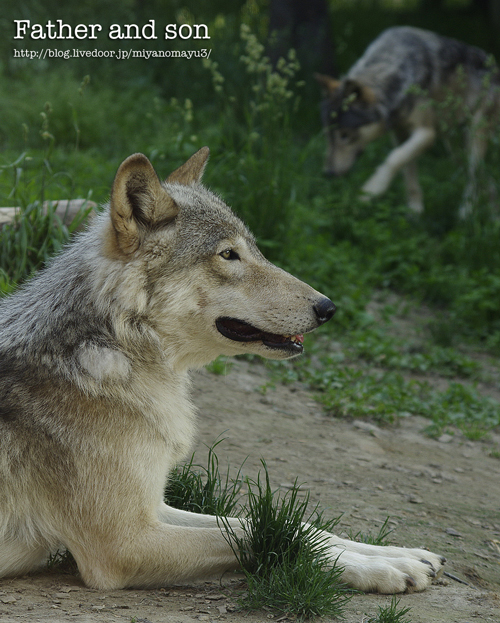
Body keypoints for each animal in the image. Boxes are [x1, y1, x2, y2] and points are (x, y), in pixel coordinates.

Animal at [0, 147, 446, 596]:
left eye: (255, 250)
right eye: (228, 255)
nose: (328, 307)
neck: (108, 352)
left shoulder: (153, 505)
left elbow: (291, 524)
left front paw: (400, 554)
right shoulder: (123, 545)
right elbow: (269, 535)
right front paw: (383, 569)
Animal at [316, 26, 500, 217]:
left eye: (344, 135)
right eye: (328, 135)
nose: (328, 173)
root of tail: (494, 65)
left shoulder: (426, 133)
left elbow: (394, 158)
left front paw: (371, 190)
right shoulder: (400, 136)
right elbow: (407, 172)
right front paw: (414, 213)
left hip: (473, 141)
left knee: (474, 177)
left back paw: (465, 214)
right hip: (455, 149)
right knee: (486, 179)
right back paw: (492, 216)